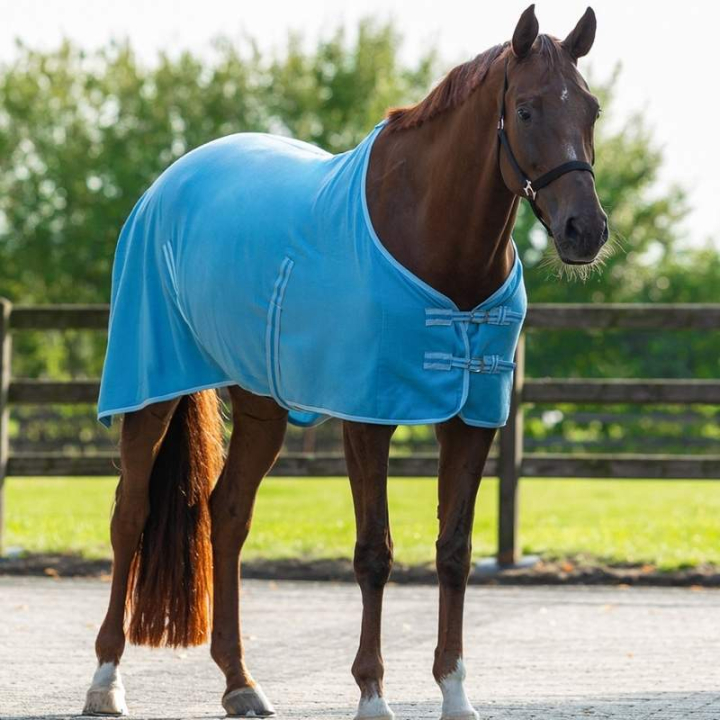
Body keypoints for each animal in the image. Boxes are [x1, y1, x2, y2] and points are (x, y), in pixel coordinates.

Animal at [83, 5, 608, 719]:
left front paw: (454, 692)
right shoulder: (367, 417)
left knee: (228, 515)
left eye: (591, 109)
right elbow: (373, 553)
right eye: (525, 110)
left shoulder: (471, 420)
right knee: (129, 515)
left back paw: (241, 682)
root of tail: (168, 183)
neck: (430, 237)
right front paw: (372, 693)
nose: (587, 230)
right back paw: (106, 681)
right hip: (151, 388)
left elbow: (455, 551)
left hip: (262, 405)